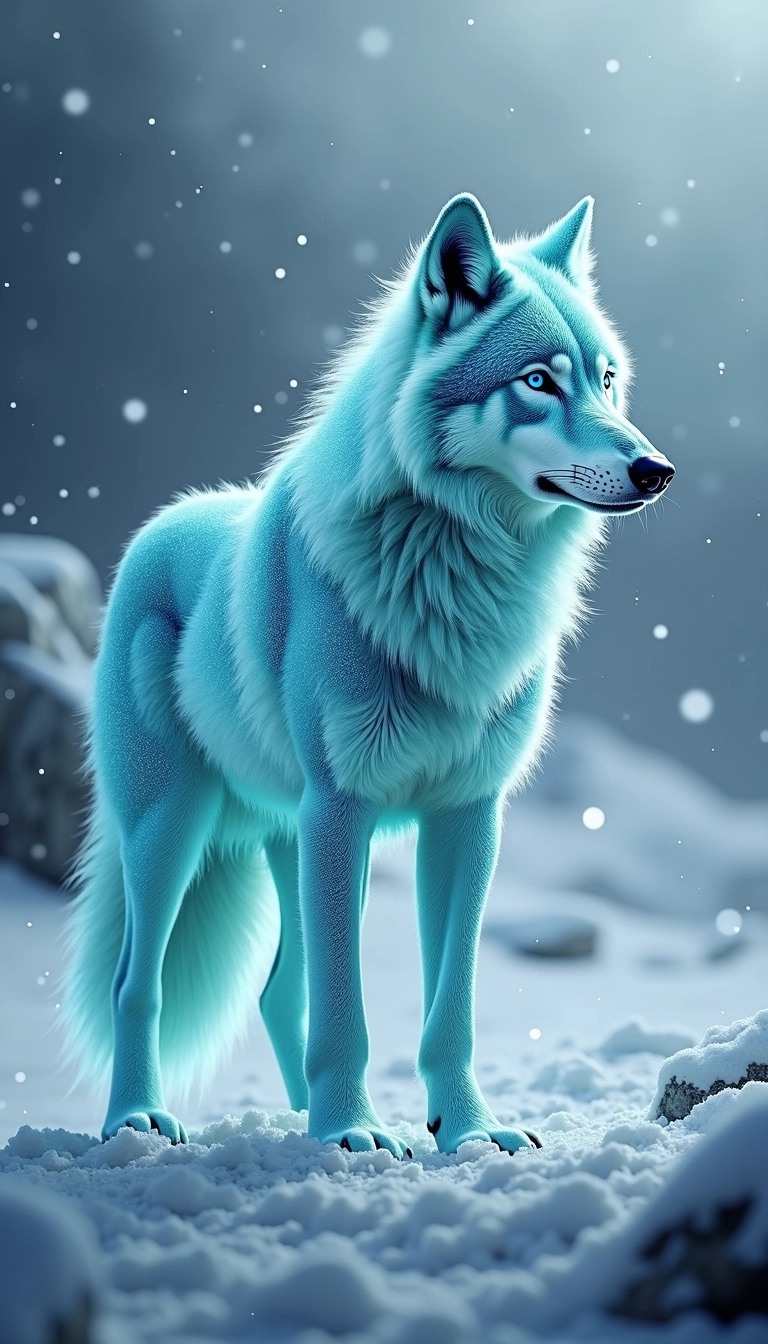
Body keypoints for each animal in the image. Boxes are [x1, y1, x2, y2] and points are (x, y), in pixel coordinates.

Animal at [61, 194, 674, 1155]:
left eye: (607, 380)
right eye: (539, 381)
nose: (655, 471)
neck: (458, 576)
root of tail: (166, 521)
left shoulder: (468, 817)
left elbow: (449, 1009)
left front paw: (466, 1132)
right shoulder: (343, 808)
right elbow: (346, 1007)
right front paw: (353, 1130)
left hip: (281, 832)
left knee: (278, 989)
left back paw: (293, 1119)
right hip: (174, 826)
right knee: (139, 982)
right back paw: (140, 1119)